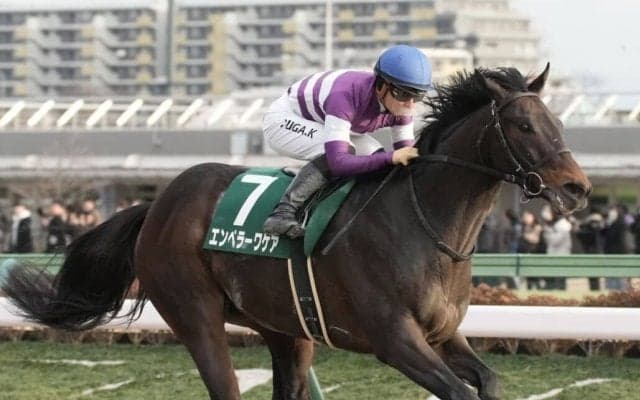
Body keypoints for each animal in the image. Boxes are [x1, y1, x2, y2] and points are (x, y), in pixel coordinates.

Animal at [3, 64, 591, 400]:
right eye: (523, 126)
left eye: (558, 122)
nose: (578, 188)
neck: (429, 228)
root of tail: (156, 205)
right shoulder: (395, 339)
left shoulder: (442, 334)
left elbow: (489, 381)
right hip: (194, 313)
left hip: (286, 328)